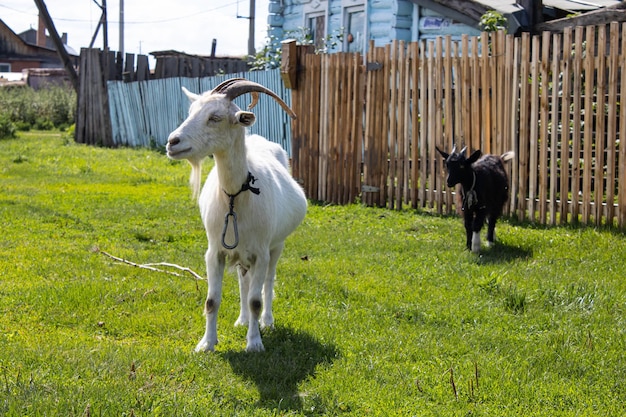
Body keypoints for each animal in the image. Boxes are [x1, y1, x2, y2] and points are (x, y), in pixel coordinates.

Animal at [166, 78, 308, 352]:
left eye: (215, 117)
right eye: (191, 112)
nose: (172, 142)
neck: (234, 196)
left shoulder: (261, 252)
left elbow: (256, 300)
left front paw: (254, 344)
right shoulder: (215, 252)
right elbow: (212, 300)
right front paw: (207, 344)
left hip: (276, 245)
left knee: (268, 282)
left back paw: (267, 322)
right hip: (242, 252)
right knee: (244, 282)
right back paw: (242, 320)